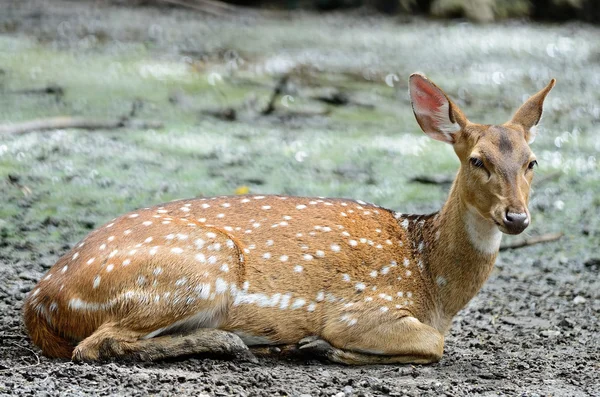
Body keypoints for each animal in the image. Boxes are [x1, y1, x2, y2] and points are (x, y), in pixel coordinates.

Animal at [24, 72, 556, 364]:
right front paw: (319, 347)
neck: (432, 283)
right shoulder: (360, 309)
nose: (516, 217)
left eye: (532, 161)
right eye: (477, 160)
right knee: (96, 345)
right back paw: (233, 342)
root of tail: (40, 301)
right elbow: (434, 345)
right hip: (199, 269)